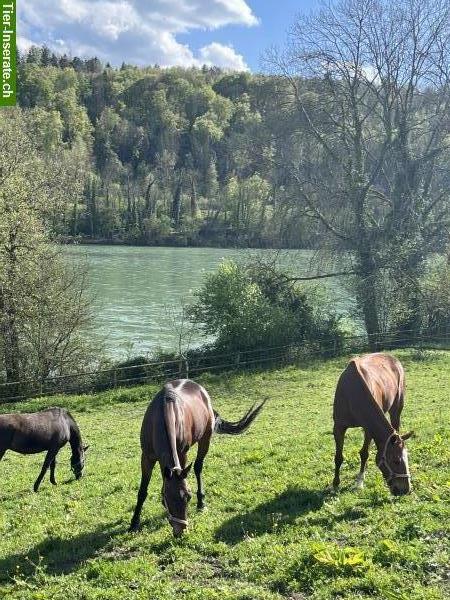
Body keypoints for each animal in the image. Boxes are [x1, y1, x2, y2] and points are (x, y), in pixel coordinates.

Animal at [128, 378, 266, 536]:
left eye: (188, 497)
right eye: (165, 499)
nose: (180, 531)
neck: (163, 415)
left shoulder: (182, 454)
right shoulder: (146, 457)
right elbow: (142, 491)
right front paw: (134, 523)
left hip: (205, 439)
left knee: (198, 467)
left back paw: (201, 503)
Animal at [332, 352, 414, 496]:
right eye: (396, 461)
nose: (405, 490)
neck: (353, 393)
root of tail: (393, 358)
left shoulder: (368, 428)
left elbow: (364, 453)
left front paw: (360, 481)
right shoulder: (339, 427)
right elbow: (338, 456)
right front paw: (335, 484)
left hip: (396, 410)